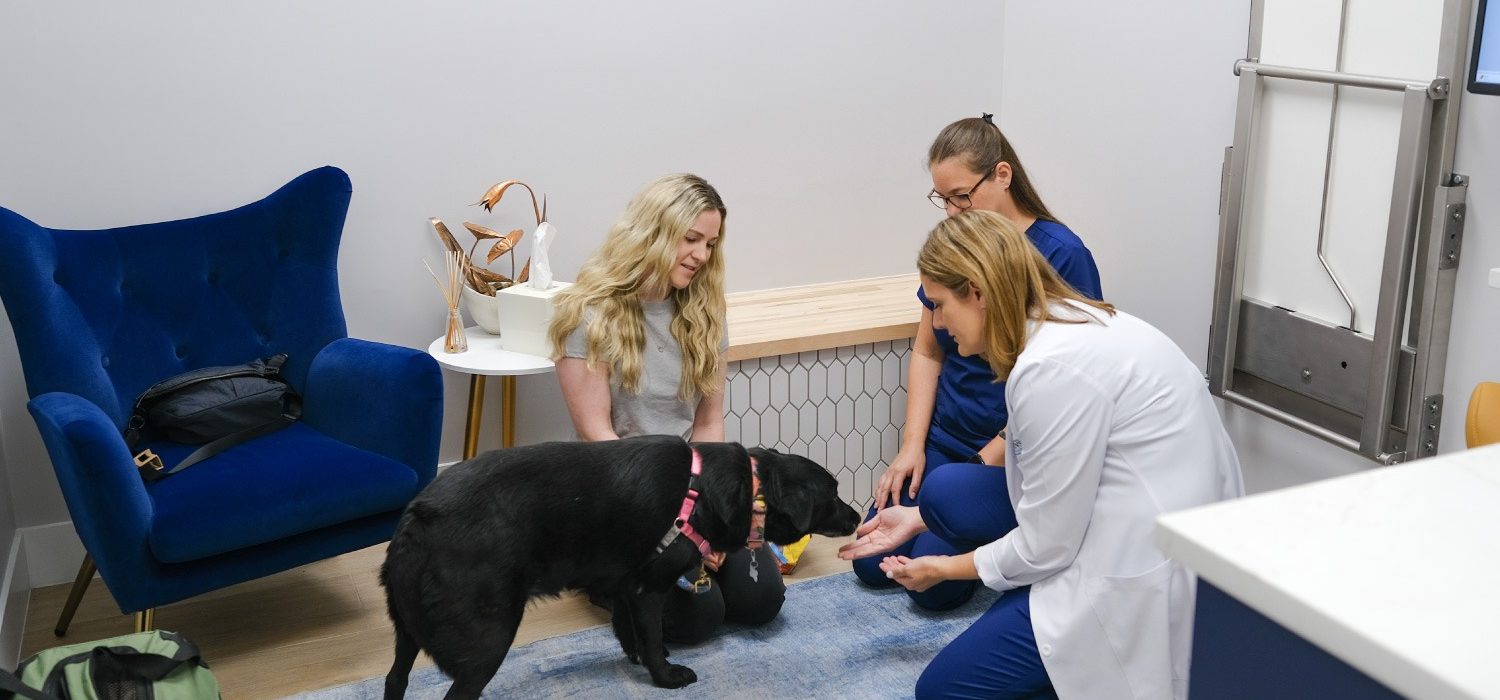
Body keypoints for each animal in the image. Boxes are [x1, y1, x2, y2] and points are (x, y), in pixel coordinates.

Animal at [381, 434, 864, 698]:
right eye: (833, 492)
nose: (859, 516)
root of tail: (417, 516)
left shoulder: (626, 585)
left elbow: (629, 631)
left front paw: (642, 660)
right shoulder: (651, 586)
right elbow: (650, 636)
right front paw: (666, 677)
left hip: (406, 632)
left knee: (394, 680)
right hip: (490, 635)